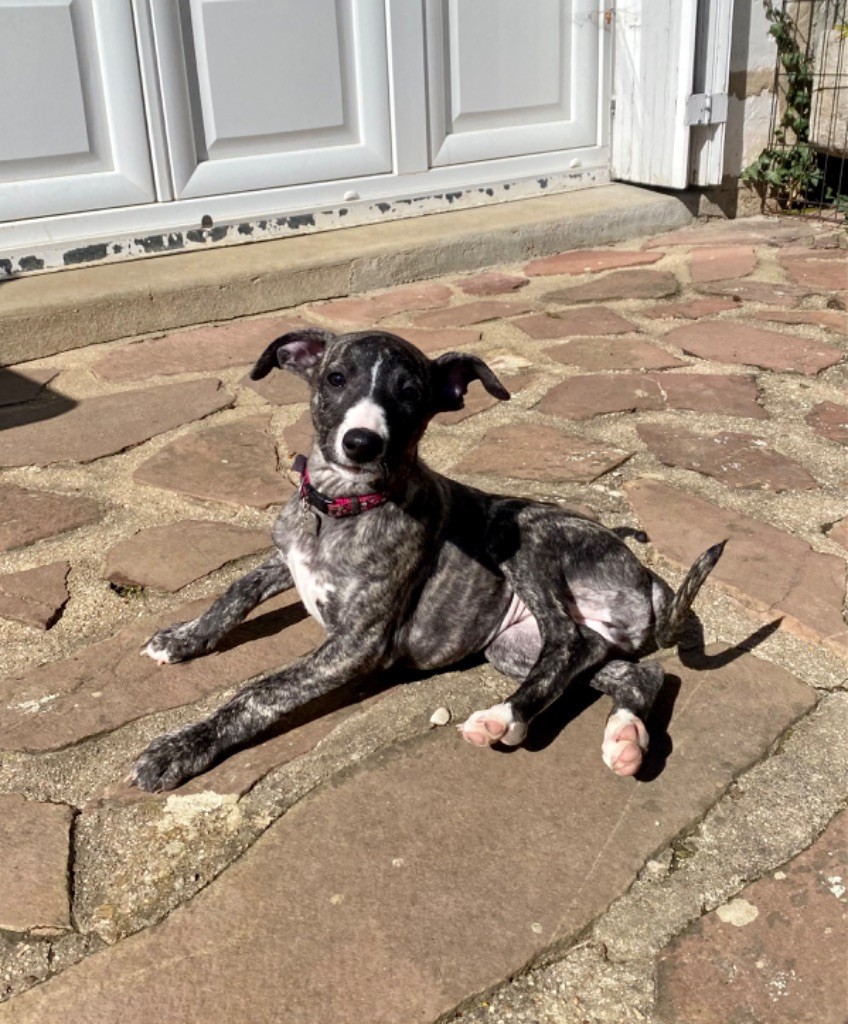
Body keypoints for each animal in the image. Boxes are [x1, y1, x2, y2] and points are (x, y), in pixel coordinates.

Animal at [129, 328, 724, 792]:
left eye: (411, 395)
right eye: (335, 378)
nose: (362, 442)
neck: (341, 507)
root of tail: (644, 575)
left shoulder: (358, 645)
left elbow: (259, 691)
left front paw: (181, 747)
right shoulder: (287, 559)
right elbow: (236, 590)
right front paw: (183, 638)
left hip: (521, 533)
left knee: (568, 640)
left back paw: (502, 716)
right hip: (513, 646)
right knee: (632, 670)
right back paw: (624, 737)